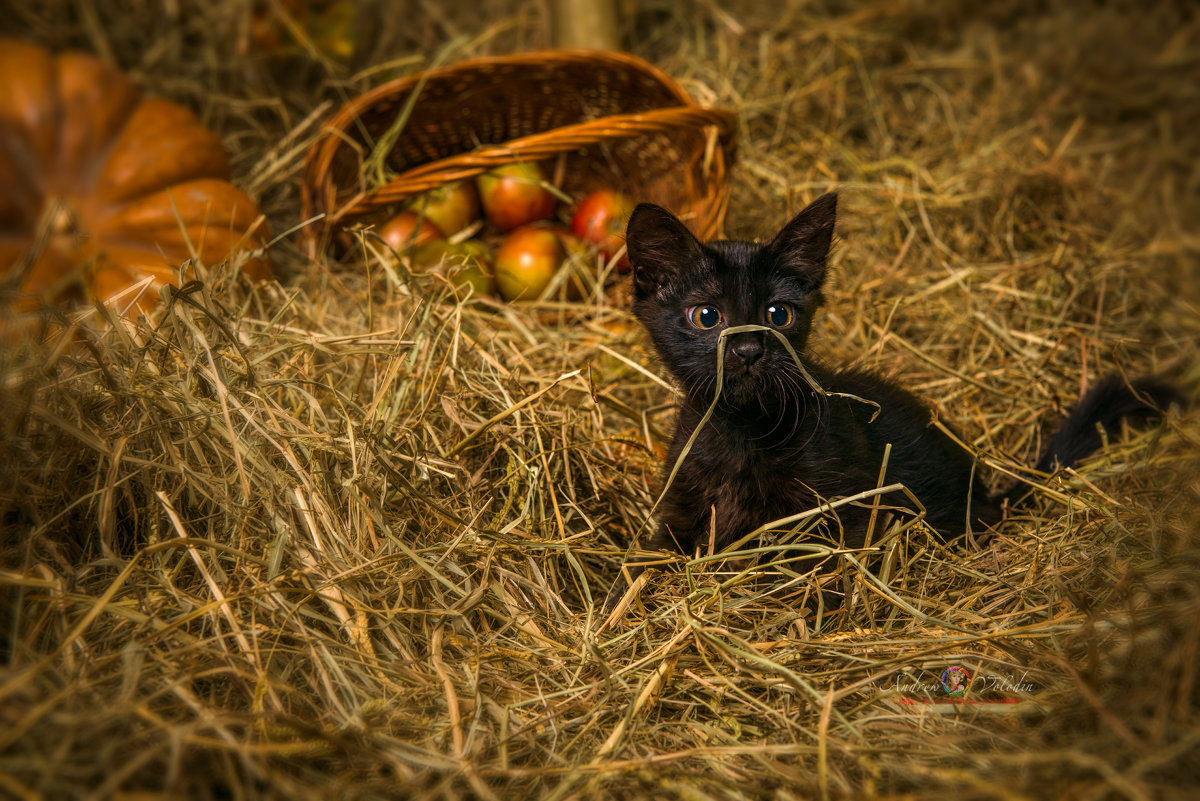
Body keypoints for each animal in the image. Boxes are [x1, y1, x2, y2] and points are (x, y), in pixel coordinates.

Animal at [624, 191, 1176, 573]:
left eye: (778, 314)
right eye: (706, 316)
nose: (747, 350)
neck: (743, 432)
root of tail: (986, 494)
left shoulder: (846, 508)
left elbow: (825, 571)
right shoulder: (678, 508)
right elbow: (650, 561)